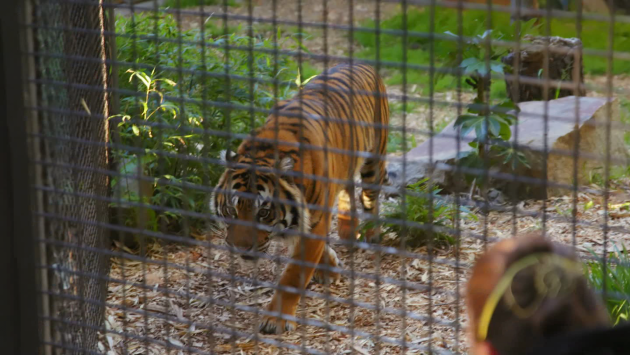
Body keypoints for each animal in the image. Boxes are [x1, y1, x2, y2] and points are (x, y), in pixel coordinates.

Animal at [212, 63, 390, 334]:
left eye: (263, 212)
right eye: (232, 211)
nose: (241, 248)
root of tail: (360, 63)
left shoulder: (314, 223)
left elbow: (293, 275)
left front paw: (275, 320)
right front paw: (329, 267)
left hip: (373, 160)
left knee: (369, 197)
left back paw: (372, 234)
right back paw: (348, 232)